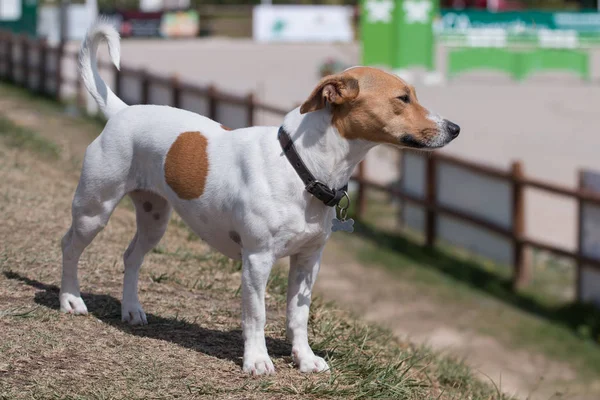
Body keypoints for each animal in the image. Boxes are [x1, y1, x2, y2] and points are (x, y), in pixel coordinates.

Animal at [61, 21, 460, 376]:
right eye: (403, 98)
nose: (455, 128)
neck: (302, 166)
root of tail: (123, 111)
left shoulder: (308, 261)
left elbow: (298, 316)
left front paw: (304, 360)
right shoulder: (257, 260)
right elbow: (256, 315)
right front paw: (256, 361)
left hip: (154, 219)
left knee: (131, 257)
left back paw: (131, 310)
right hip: (94, 209)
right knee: (69, 246)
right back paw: (70, 299)